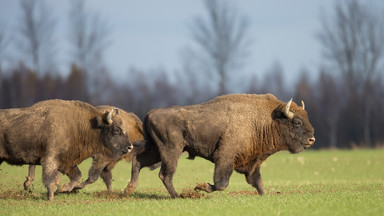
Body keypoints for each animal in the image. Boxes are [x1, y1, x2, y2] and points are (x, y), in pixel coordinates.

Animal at [0, 99, 133, 201]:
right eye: (116, 129)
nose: (130, 147)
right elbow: (50, 178)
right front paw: (51, 197)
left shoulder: (67, 162)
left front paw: (63, 189)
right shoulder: (50, 159)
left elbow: (77, 176)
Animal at [125, 93, 316, 198]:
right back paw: (178, 196)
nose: (311, 139)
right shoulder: (225, 158)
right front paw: (200, 187)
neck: (264, 120)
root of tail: (150, 113)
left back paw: (129, 189)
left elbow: (257, 182)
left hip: (157, 150)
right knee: (165, 175)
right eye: (297, 122)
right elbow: (222, 183)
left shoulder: (253, 163)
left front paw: (264, 195)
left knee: (138, 161)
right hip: (171, 151)